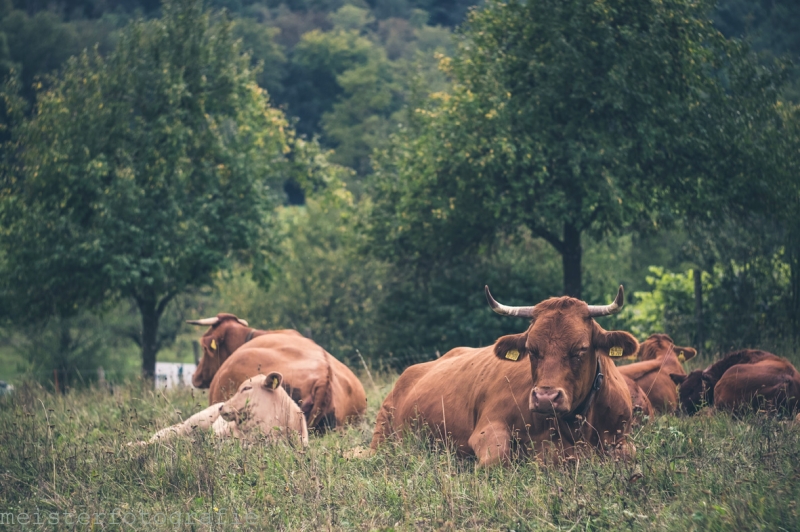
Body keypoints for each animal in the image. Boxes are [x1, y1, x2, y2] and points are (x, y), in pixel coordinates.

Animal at [372, 286, 640, 466]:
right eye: (532, 349)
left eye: (581, 349)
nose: (545, 398)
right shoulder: (488, 428)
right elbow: (497, 459)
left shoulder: (622, 438)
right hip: (382, 435)